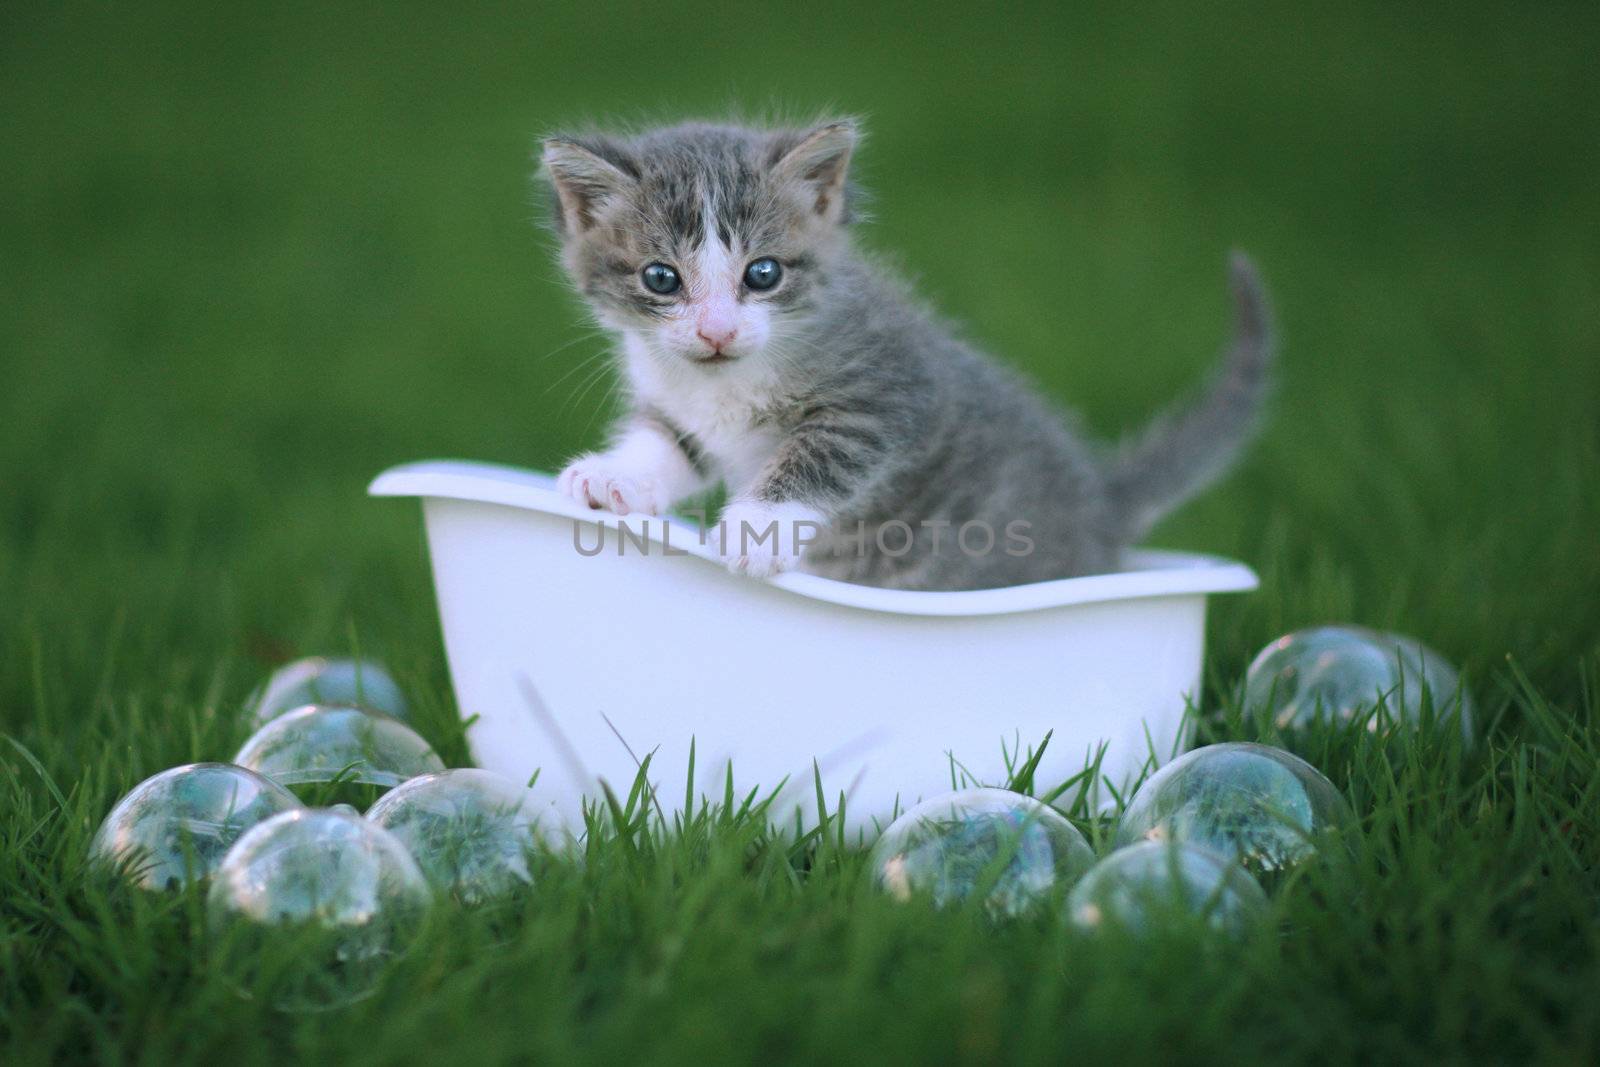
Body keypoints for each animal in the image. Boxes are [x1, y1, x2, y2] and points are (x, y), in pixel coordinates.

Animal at [544, 125, 1267, 598]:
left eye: (764, 273)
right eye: (662, 278)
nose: (717, 330)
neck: (724, 379)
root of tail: (1099, 503)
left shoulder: (887, 390)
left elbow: (823, 453)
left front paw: (759, 527)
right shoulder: (679, 403)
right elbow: (667, 443)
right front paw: (616, 476)